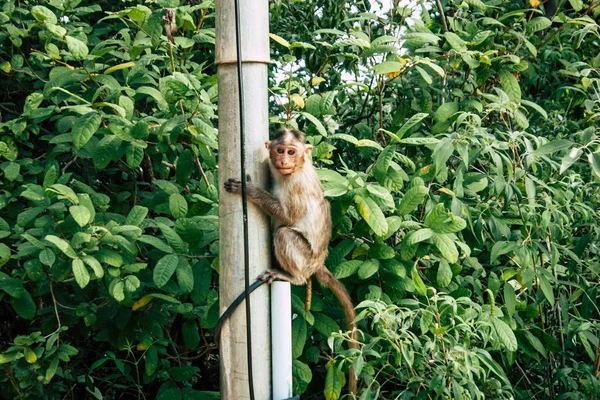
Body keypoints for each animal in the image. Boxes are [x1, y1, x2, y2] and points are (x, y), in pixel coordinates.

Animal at [224, 127, 356, 394]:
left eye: (292, 152)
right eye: (280, 150)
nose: (284, 160)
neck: (296, 169)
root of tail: (318, 263)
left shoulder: (296, 185)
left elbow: (287, 217)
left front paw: (249, 191)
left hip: (305, 259)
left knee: (284, 233)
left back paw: (292, 276)